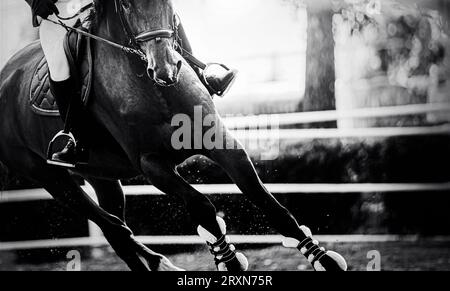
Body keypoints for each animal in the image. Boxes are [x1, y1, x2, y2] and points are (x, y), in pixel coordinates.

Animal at [0, 0, 348, 272]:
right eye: (126, 4)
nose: (165, 69)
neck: (158, 89)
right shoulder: (153, 165)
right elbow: (201, 205)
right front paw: (228, 260)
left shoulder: (221, 143)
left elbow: (264, 198)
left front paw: (322, 258)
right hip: (52, 180)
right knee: (114, 229)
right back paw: (158, 262)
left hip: (101, 176)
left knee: (116, 226)